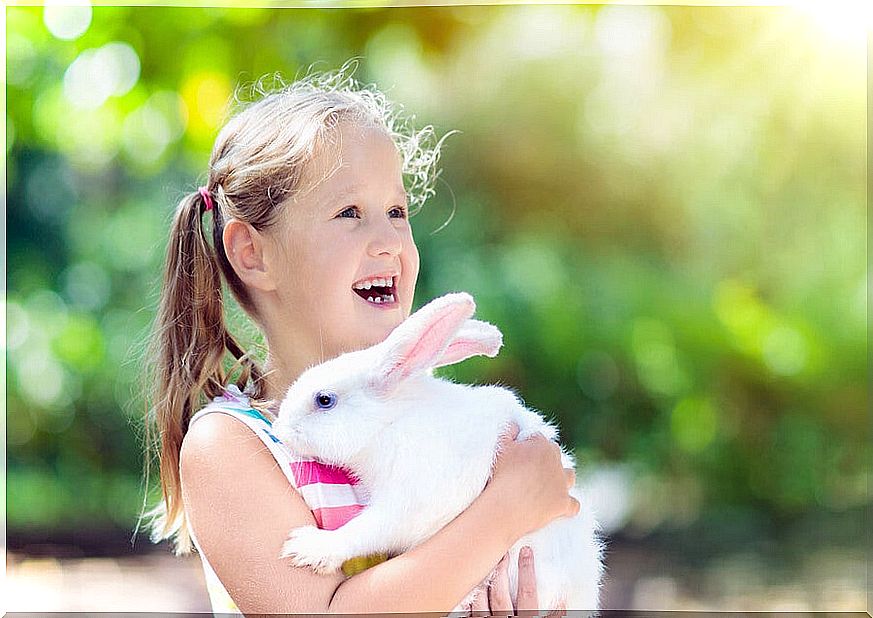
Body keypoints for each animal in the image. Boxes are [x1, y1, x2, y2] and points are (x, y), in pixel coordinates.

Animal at [276, 292, 604, 608]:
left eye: (324, 400)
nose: (280, 428)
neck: (390, 424)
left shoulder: (411, 502)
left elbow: (368, 529)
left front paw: (308, 548)